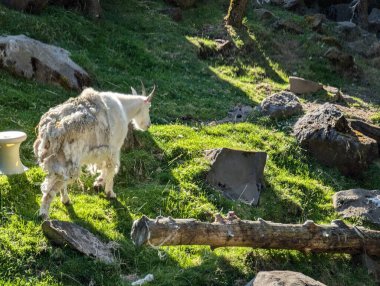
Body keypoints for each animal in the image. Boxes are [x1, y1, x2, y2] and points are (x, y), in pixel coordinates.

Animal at [34, 84, 155, 218]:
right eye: (149, 107)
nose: (148, 125)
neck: (124, 108)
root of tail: (49, 130)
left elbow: (105, 168)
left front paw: (98, 183)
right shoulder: (114, 148)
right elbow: (111, 169)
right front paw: (110, 192)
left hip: (58, 159)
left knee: (58, 180)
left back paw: (65, 201)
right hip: (68, 159)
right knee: (51, 188)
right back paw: (44, 214)